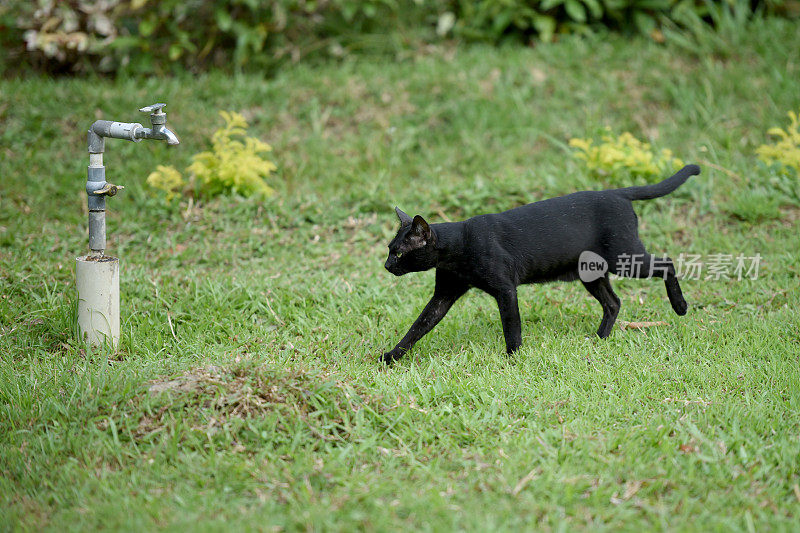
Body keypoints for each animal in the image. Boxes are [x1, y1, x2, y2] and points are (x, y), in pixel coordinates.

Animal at [382, 164, 700, 364]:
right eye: (389, 250)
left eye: (398, 253)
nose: (386, 265)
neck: (457, 248)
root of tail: (617, 191)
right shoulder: (444, 295)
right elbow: (419, 326)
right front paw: (391, 356)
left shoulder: (506, 290)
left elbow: (512, 326)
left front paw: (513, 358)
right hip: (592, 274)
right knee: (614, 302)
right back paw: (598, 340)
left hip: (625, 259)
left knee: (667, 263)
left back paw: (680, 307)